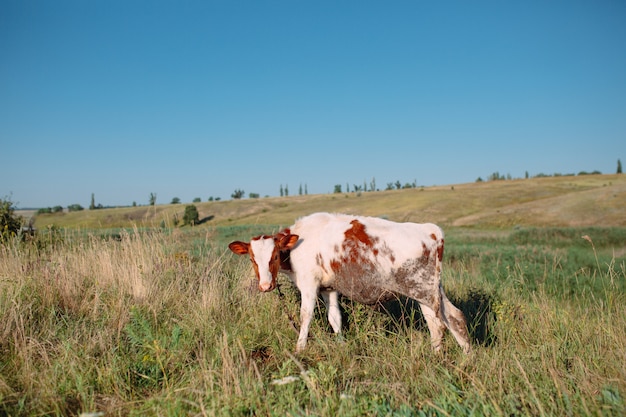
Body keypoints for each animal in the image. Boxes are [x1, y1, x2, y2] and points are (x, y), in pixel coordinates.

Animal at [228, 213, 468, 352]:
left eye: (275, 256)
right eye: (252, 259)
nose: (265, 286)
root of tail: (429, 229)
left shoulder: (309, 284)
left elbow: (306, 316)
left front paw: (299, 349)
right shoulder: (329, 288)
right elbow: (335, 318)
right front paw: (342, 345)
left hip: (423, 290)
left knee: (443, 324)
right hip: (430, 292)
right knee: (449, 320)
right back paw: (460, 357)